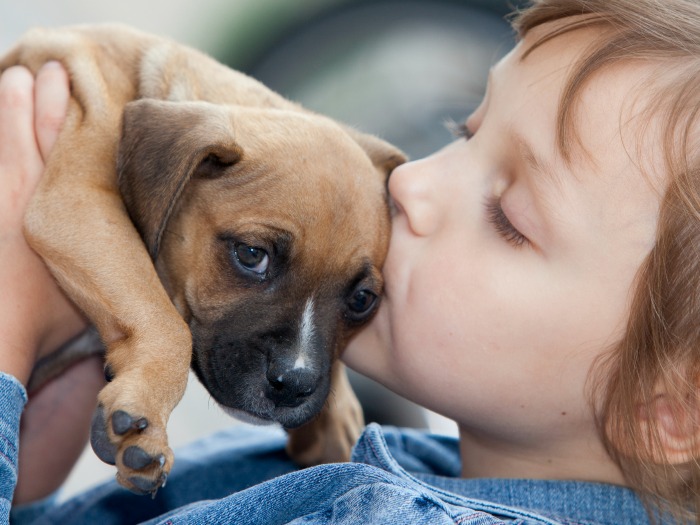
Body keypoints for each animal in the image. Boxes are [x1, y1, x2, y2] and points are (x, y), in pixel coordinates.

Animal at [1, 25, 404, 496]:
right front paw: (147, 414)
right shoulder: (75, 203)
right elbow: (167, 323)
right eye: (252, 255)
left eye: (361, 300)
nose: (294, 385)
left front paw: (338, 421)